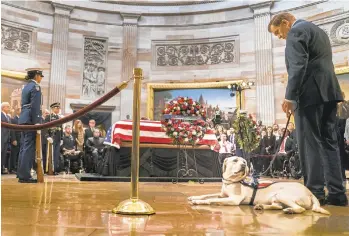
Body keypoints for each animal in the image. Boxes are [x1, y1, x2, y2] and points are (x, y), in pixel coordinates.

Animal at [186, 156, 328, 215]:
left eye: (244, 161)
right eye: (235, 160)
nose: (244, 165)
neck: (232, 181)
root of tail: (310, 193)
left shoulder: (233, 199)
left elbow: (211, 199)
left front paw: (198, 202)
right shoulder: (222, 194)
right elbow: (207, 194)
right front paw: (194, 197)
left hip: (282, 195)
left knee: (300, 208)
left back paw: (290, 210)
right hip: (276, 198)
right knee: (277, 206)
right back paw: (261, 206)